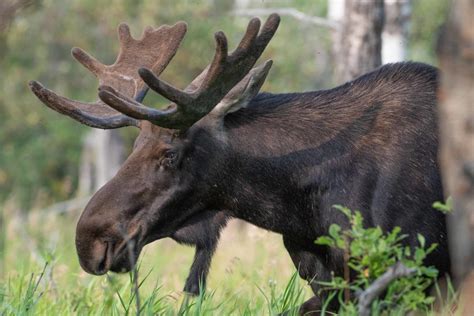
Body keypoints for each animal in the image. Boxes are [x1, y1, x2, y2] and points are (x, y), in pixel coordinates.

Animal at [29, 14, 448, 314]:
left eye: (170, 154)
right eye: (134, 146)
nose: (89, 239)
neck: (299, 209)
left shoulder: (408, 269)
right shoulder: (325, 277)